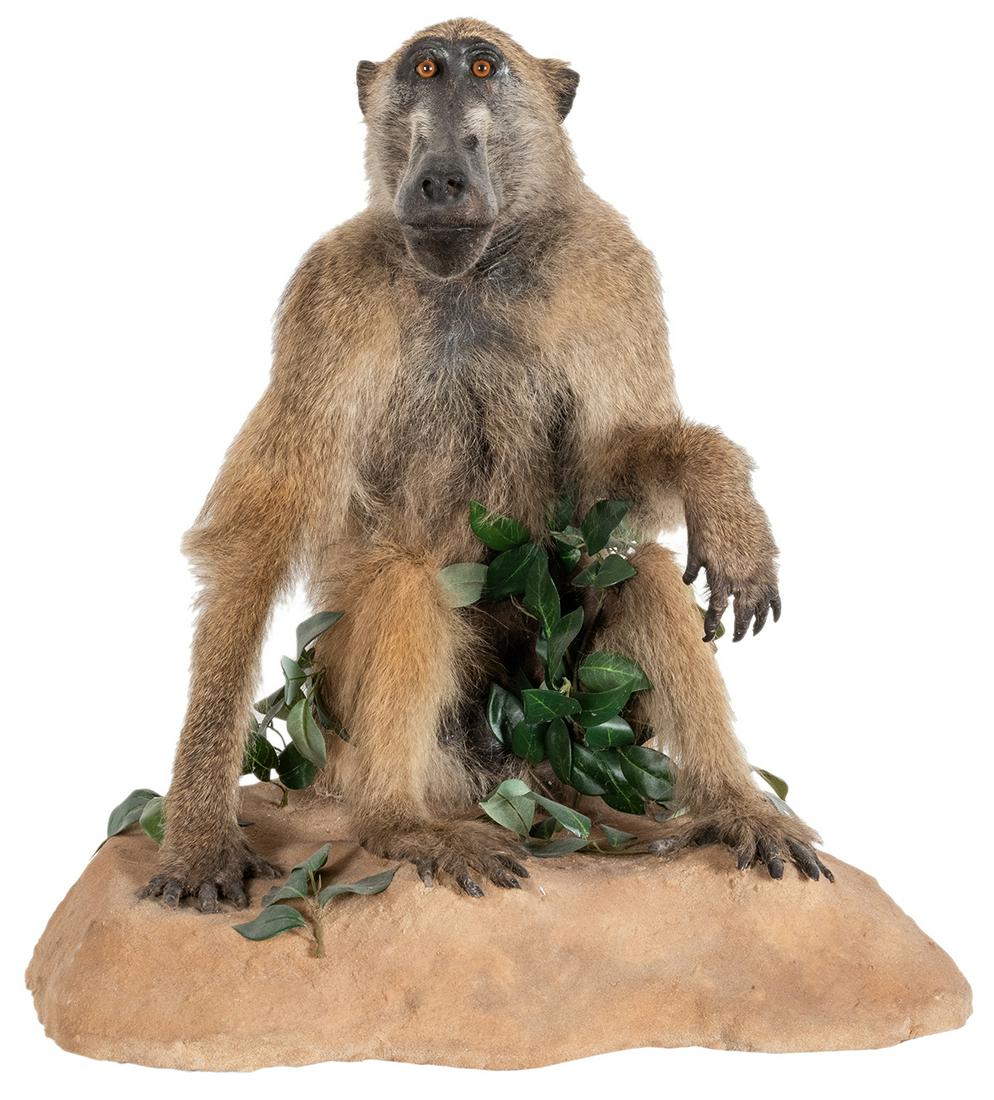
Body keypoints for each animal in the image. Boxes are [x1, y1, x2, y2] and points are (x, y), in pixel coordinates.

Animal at [141, 18, 832, 912]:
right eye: (426, 70)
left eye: (480, 68)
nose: (441, 176)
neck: (476, 275)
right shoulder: (327, 295)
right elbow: (258, 533)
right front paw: (197, 832)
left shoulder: (611, 267)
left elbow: (614, 477)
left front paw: (719, 493)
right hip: (347, 729)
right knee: (406, 576)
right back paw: (402, 823)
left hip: (562, 729)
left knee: (637, 567)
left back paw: (733, 809)